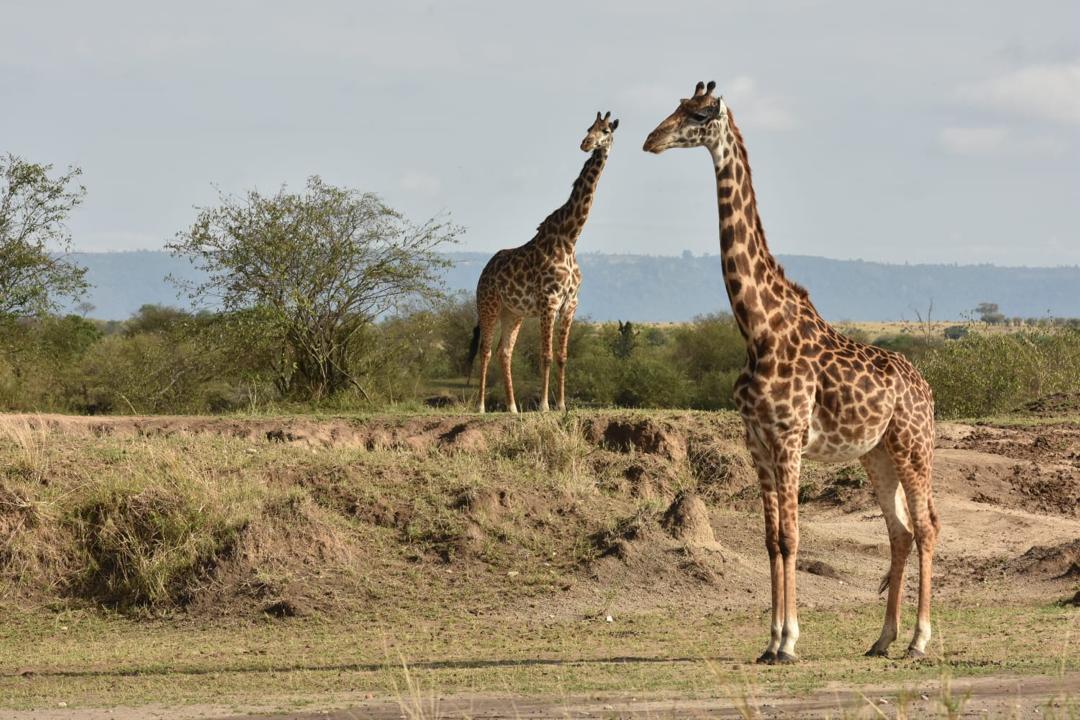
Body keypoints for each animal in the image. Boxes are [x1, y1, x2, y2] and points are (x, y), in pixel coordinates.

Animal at [467, 111, 618, 413]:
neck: (570, 238)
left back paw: (513, 407)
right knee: (486, 350)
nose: (585, 143)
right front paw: (545, 406)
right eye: (589, 127)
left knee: (505, 352)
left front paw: (561, 405)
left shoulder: (570, 303)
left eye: (606, 130)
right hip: (488, 305)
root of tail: (485, 270)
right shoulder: (549, 300)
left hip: (513, 313)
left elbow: (562, 356)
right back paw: (480, 407)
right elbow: (546, 355)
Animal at [644, 82, 939, 663]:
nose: (651, 139)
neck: (758, 329)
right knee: (899, 532)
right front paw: (771, 641)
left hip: (914, 447)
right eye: (676, 106)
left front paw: (789, 641)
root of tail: (927, 390)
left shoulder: (788, 439)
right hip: (877, 453)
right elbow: (771, 539)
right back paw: (882, 639)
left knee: (926, 527)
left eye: (699, 114)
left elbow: (793, 538)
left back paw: (918, 641)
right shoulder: (757, 441)